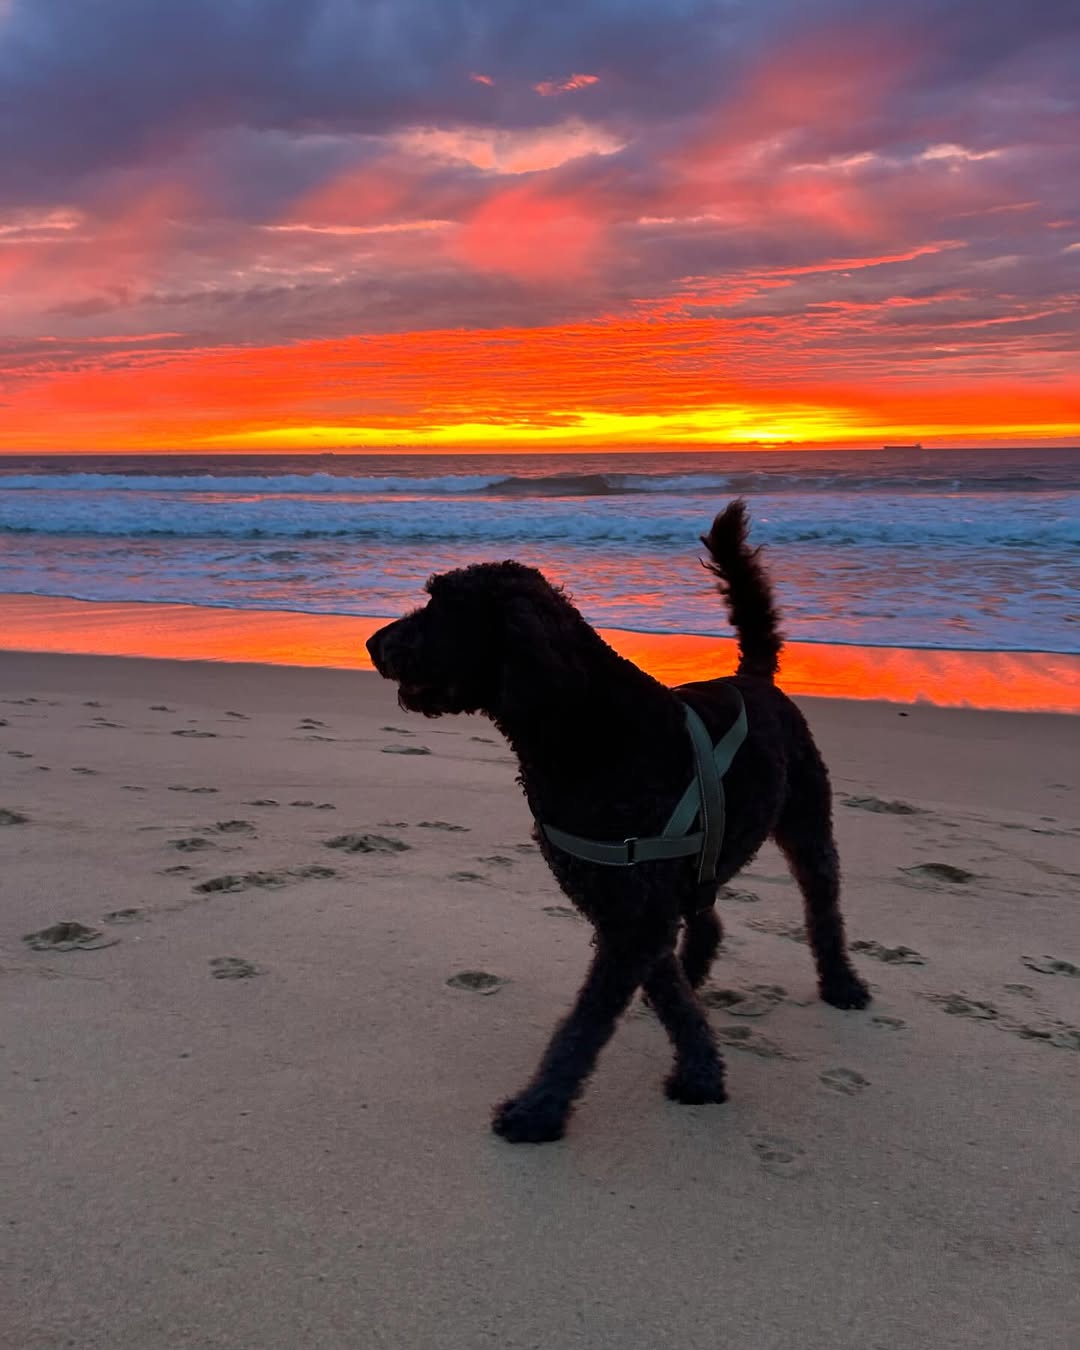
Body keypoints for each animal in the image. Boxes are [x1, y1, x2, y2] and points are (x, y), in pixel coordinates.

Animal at [367, 500, 869, 1142]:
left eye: (440, 606)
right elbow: (665, 991)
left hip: (806, 822)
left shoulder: (632, 913)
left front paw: (538, 1109)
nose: (371, 643)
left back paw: (842, 984)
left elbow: (582, 1027)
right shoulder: (622, 904)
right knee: (707, 920)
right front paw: (701, 1067)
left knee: (822, 905)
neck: (588, 726)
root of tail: (754, 676)